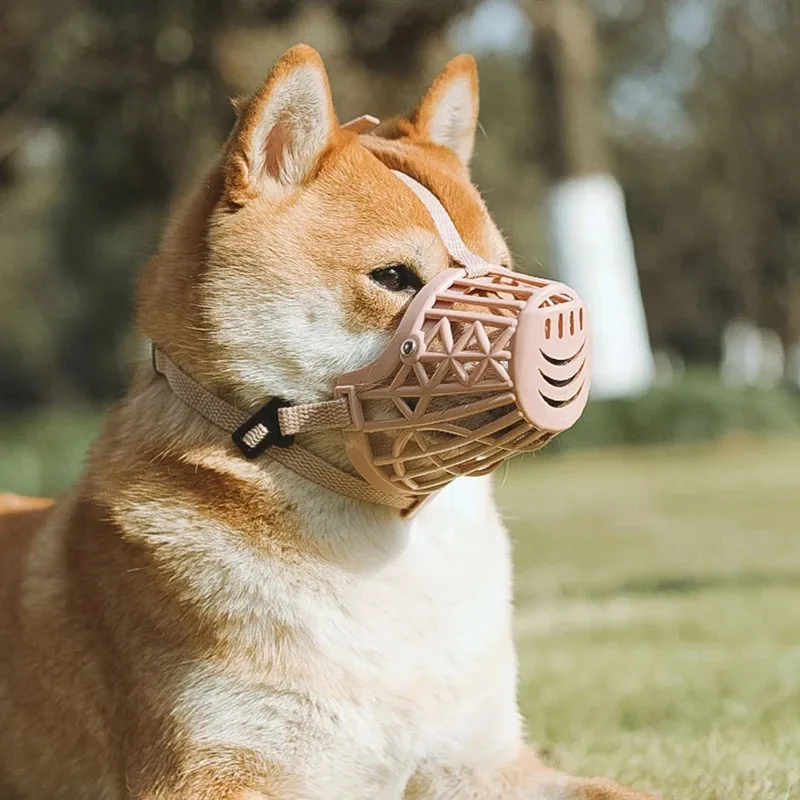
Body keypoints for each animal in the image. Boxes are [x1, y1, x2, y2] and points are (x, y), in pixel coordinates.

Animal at [0, 47, 656, 800]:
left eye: (500, 269)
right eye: (394, 276)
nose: (563, 324)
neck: (390, 552)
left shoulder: (484, 762)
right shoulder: (213, 767)